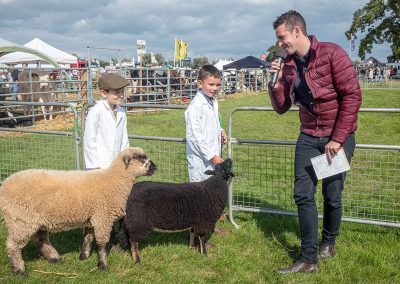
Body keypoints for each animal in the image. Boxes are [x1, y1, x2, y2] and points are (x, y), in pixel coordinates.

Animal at [0, 148, 156, 274]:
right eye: (141, 158)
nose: (155, 167)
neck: (114, 181)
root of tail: (4, 185)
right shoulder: (102, 217)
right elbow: (102, 244)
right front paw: (102, 265)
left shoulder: (92, 217)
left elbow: (88, 238)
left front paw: (83, 257)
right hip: (21, 221)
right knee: (13, 246)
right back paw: (19, 270)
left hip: (37, 221)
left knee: (41, 240)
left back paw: (55, 259)